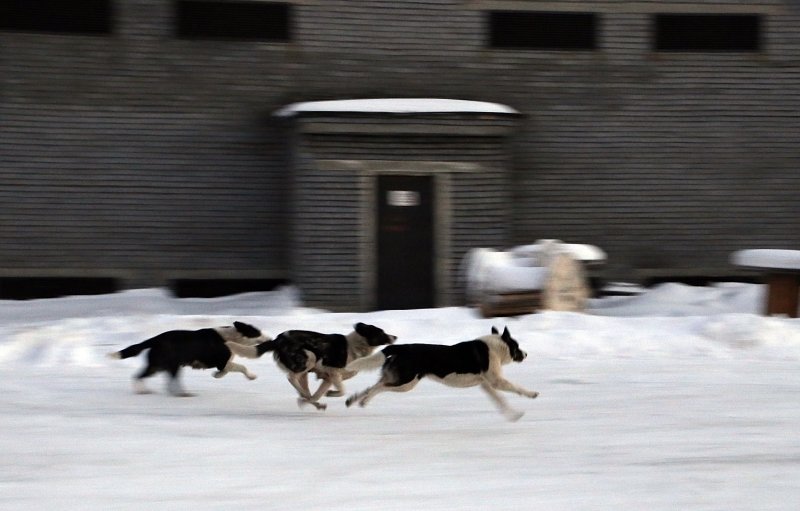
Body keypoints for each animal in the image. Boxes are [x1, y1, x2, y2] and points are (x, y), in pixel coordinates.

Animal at [108, 322, 270, 398]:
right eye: (257, 332)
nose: (270, 338)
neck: (230, 336)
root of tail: (156, 339)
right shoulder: (221, 362)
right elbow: (240, 367)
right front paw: (251, 376)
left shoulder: (223, 364)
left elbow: (224, 371)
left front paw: (216, 375)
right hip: (169, 365)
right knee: (167, 381)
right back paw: (182, 394)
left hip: (157, 366)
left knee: (141, 376)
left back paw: (145, 390)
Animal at [225, 324, 396, 412]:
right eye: (381, 332)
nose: (395, 337)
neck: (356, 346)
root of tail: (278, 339)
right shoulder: (333, 371)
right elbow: (341, 391)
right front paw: (331, 394)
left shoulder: (328, 378)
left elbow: (318, 394)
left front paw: (314, 399)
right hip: (309, 358)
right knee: (291, 378)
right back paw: (305, 397)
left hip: (306, 371)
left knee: (304, 390)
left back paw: (310, 400)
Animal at [344, 328, 536, 420]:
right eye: (517, 346)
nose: (526, 354)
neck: (495, 347)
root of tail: (402, 347)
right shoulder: (496, 381)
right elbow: (516, 388)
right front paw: (532, 394)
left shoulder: (486, 385)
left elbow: (501, 401)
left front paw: (514, 415)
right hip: (406, 382)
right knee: (378, 388)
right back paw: (363, 401)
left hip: (398, 378)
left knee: (372, 386)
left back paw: (354, 400)